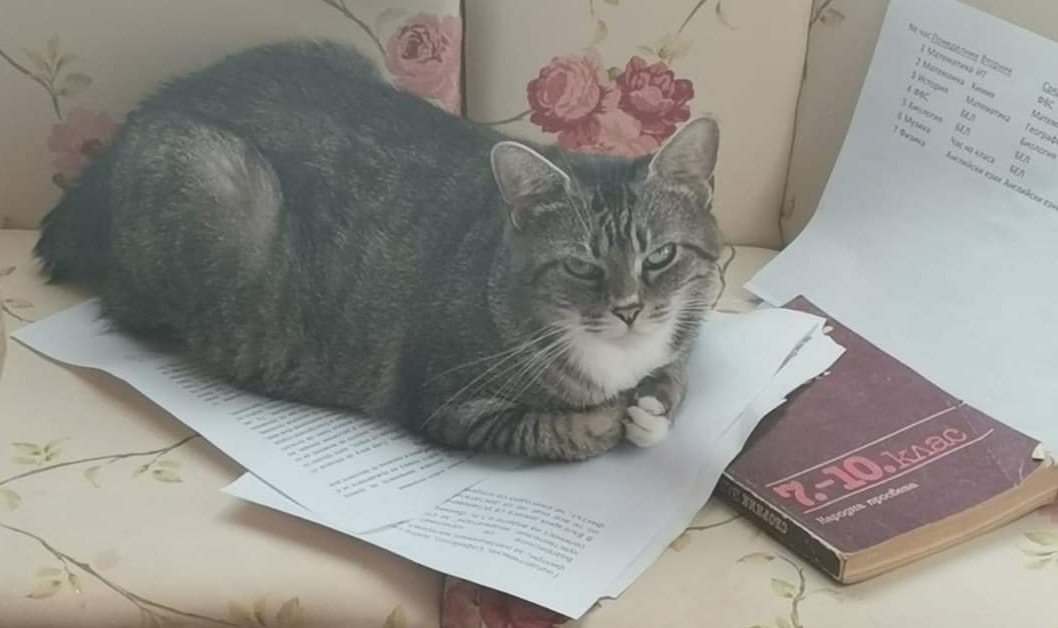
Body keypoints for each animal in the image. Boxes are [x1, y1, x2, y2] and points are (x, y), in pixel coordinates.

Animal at [34, 40, 724, 461]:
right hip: (211, 186)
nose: (629, 309)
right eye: (581, 265)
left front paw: (651, 407)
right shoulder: (449, 404)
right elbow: (560, 429)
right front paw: (612, 416)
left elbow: (674, 377)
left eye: (660, 257)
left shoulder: (681, 336)